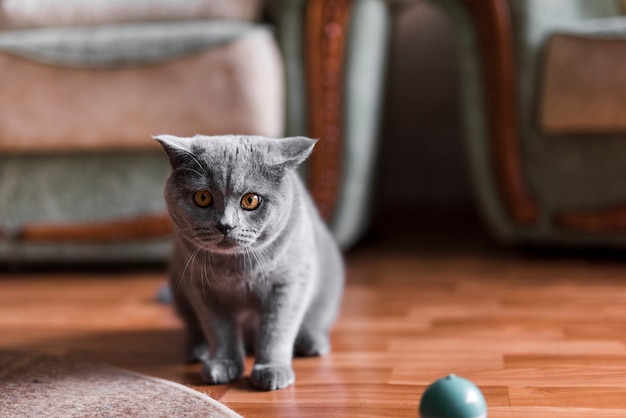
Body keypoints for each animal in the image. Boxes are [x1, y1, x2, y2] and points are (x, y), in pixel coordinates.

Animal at [154, 135, 344, 392]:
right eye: (202, 197)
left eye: (251, 200)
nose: (226, 225)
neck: (237, 269)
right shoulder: (204, 290)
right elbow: (219, 330)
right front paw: (222, 365)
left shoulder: (288, 285)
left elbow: (276, 330)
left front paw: (272, 369)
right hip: (179, 286)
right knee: (195, 326)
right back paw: (198, 350)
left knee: (315, 319)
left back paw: (312, 342)